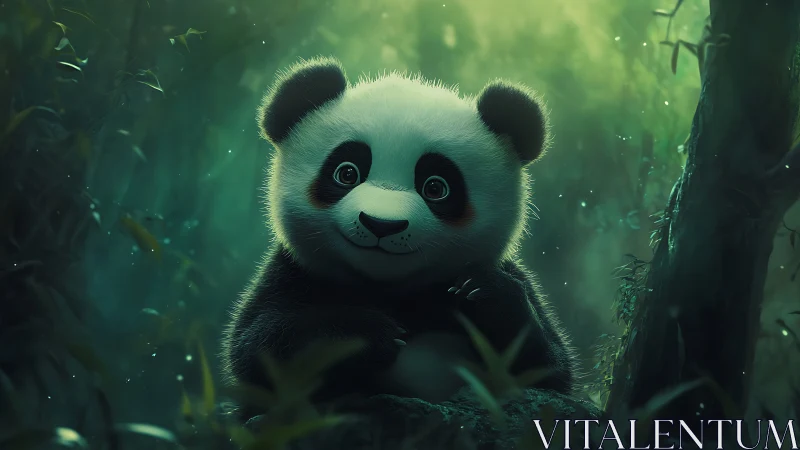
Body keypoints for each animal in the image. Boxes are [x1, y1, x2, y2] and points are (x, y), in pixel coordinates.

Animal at [221, 56, 577, 420]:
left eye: (436, 187)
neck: (388, 289)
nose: (381, 224)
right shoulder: (294, 273)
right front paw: (369, 334)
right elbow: (257, 346)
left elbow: (549, 372)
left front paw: (483, 293)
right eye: (346, 173)